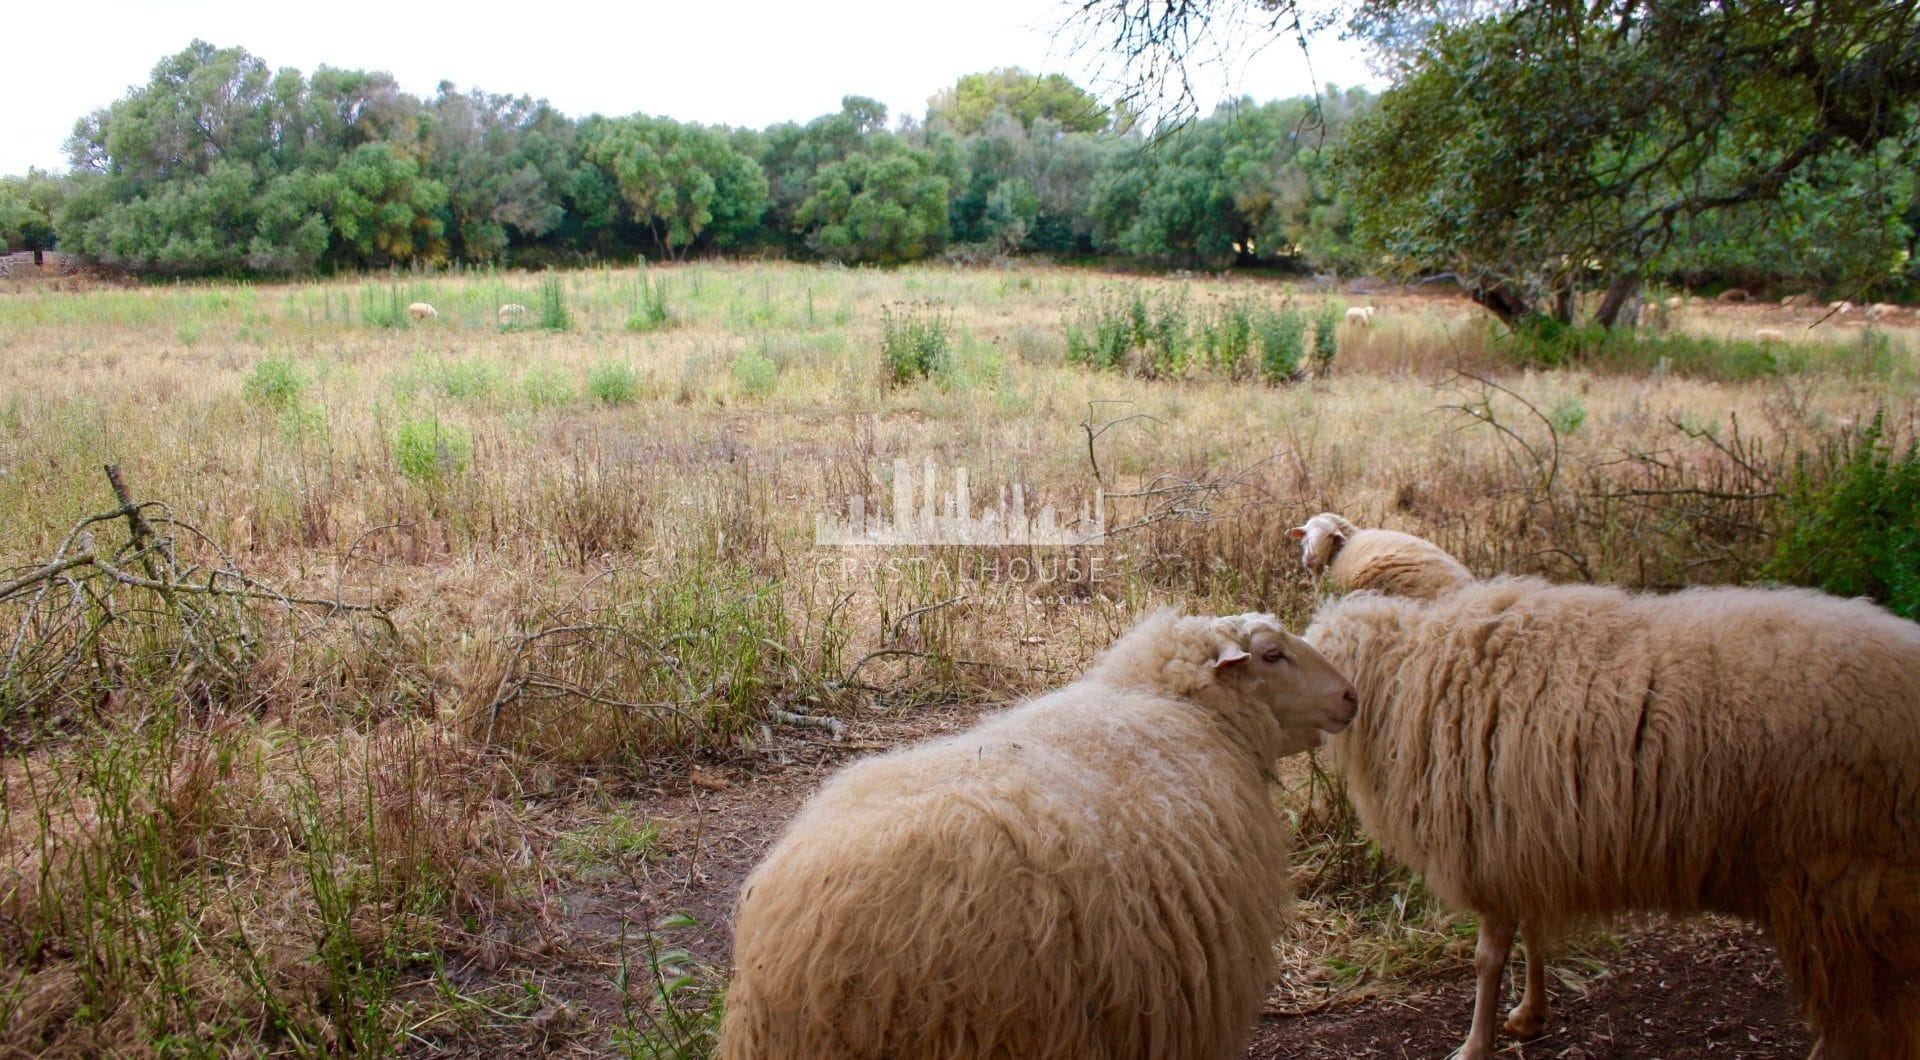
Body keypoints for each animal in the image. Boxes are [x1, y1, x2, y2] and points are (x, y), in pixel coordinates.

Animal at [1305, 568, 1920, 1060]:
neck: (1404, 675)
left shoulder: (1492, 845)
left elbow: (1488, 959)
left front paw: (1475, 1045)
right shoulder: (1529, 839)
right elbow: (1534, 936)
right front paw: (1530, 1015)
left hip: (1839, 886)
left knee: (1856, 1025)